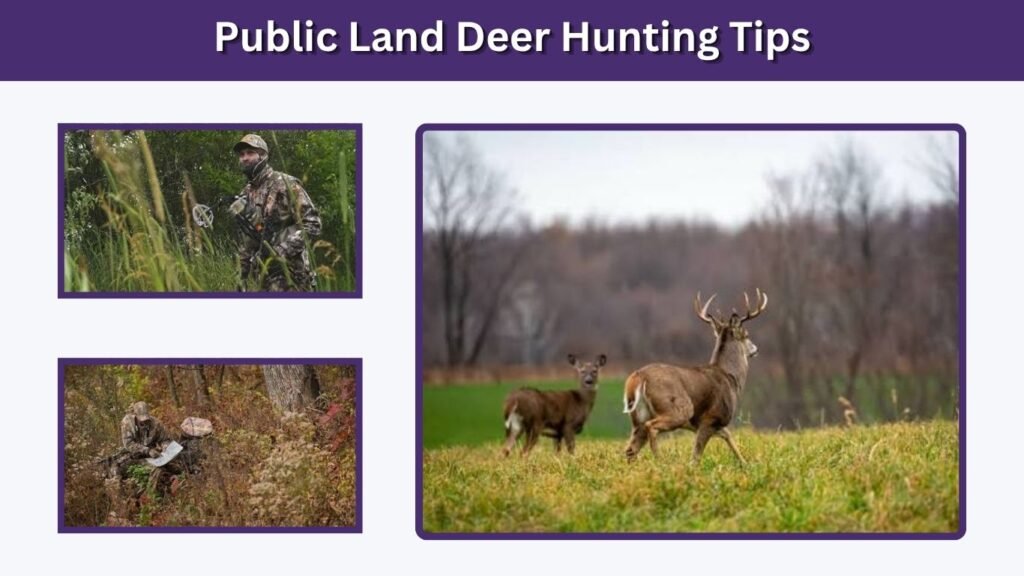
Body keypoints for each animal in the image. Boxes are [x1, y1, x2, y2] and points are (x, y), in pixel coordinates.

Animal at [622, 289, 767, 465]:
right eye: (746, 335)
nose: (755, 349)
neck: (730, 378)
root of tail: (638, 377)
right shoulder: (711, 417)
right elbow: (696, 456)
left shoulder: (714, 424)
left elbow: (729, 437)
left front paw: (745, 464)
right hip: (678, 408)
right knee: (652, 427)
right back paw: (661, 461)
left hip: (638, 416)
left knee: (630, 449)